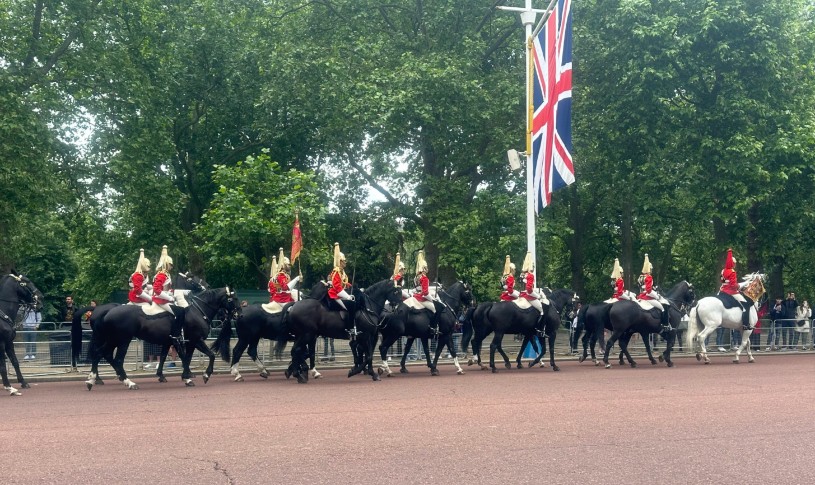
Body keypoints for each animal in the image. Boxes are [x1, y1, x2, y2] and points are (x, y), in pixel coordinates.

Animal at [86, 288, 241, 390]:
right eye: (233, 299)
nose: (238, 315)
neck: (197, 311)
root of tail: (107, 311)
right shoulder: (195, 340)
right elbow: (210, 355)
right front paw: (203, 375)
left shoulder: (182, 342)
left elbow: (182, 358)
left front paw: (183, 376)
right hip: (123, 340)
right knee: (117, 360)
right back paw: (128, 382)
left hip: (113, 340)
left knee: (100, 353)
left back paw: (92, 380)